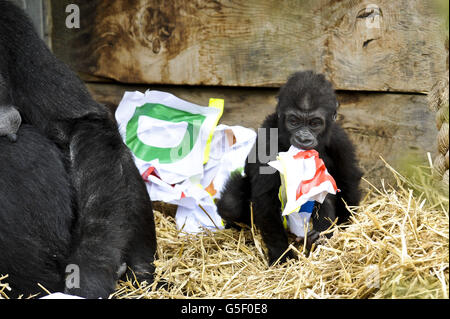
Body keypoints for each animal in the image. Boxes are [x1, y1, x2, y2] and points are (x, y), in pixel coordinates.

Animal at [217, 71, 362, 266]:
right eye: (294, 121)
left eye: (314, 123)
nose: (303, 138)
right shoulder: (267, 140)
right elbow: (266, 201)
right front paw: (281, 256)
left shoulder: (340, 142)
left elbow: (348, 184)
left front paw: (337, 229)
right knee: (230, 204)